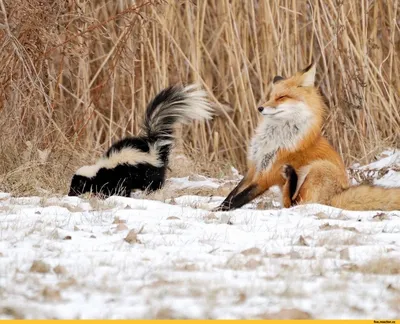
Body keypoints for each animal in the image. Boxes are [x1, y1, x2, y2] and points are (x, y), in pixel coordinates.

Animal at [69, 85, 214, 197]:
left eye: (76, 185)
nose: (70, 194)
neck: (99, 170)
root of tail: (154, 146)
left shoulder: (117, 176)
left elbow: (119, 188)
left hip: (149, 171)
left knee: (154, 183)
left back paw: (153, 192)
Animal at [216, 62, 400, 213]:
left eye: (281, 97)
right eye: (270, 97)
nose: (260, 108)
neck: (273, 137)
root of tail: (336, 196)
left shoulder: (266, 177)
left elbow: (238, 199)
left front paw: (217, 212)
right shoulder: (255, 168)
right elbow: (232, 194)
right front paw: (218, 207)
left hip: (319, 168)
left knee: (295, 204)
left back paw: (291, 176)